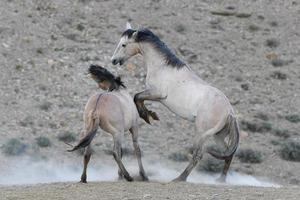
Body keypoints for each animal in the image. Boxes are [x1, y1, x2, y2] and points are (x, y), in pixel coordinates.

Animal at [111, 22, 240, 182]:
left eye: (123, 44)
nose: (113, 60)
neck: (162, 67)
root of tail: (229, 111)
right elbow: (138, 97)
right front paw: (150, 115)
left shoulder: (158, 94)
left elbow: (137, 97)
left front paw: (148, 115)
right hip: (218, 135)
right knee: (228, 154)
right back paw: (221, 179)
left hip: (202, 133)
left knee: (198, 154)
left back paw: (180, 178)